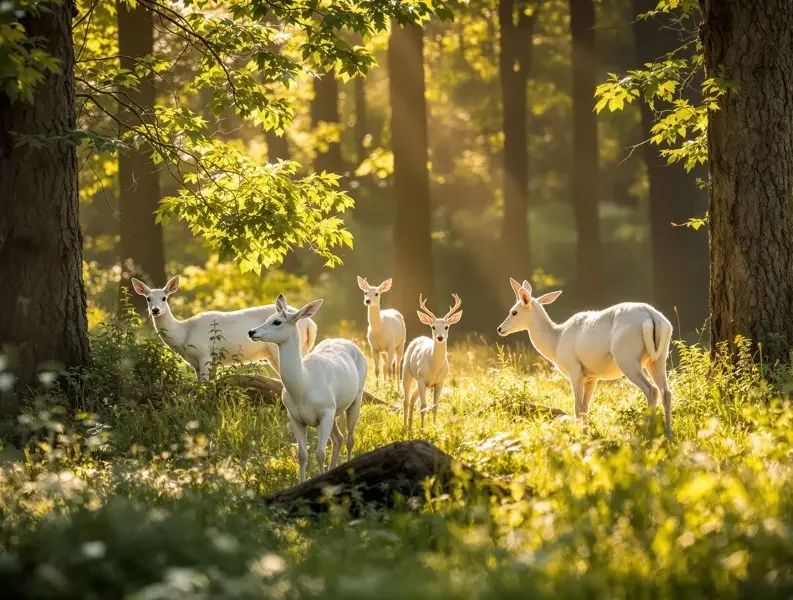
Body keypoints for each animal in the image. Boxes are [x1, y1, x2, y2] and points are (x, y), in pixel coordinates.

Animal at [131, 276, 317, 381]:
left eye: (164, 298)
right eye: (148, 298)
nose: (155, 310)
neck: (184, 333)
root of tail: (311, 324)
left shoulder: (204, 354)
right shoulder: (199, 363)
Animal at [248, 294, 367, 482]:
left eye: (277, 322)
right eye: (267, 318)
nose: (251, 332)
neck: (303, 386)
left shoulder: (326, 410)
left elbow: (320, 453)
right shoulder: (295, 416)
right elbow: (302, 455)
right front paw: (301, 482)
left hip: (357, 395)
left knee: (349, 439)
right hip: (334, 409)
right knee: (338, 438)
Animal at [401, 294, 463, 433]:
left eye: (447, 326)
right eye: (433, 327)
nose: (440, 337)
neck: (434, 367)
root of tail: (418, 338)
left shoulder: (440, 382)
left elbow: (435, 407)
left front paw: (434, 429)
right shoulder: (422, 379)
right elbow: (423, 407)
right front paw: (422, 429)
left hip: (424, 384)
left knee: (412, 398)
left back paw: (410, 426)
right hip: (407, 372)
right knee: (406, 400)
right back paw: (405, 427)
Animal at [497, 278, 674, 435]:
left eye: (514, 312)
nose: (500, 329)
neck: (557, 341)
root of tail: (651, 317)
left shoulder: (574, 370)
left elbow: (578, 407)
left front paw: (583, 436)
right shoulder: (592, 377)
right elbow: (586, 407)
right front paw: (587, 433)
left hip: (627, 359)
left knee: (651, 390)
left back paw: (649, 432)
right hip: (658, 358)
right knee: (666, 392)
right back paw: (667, 433)